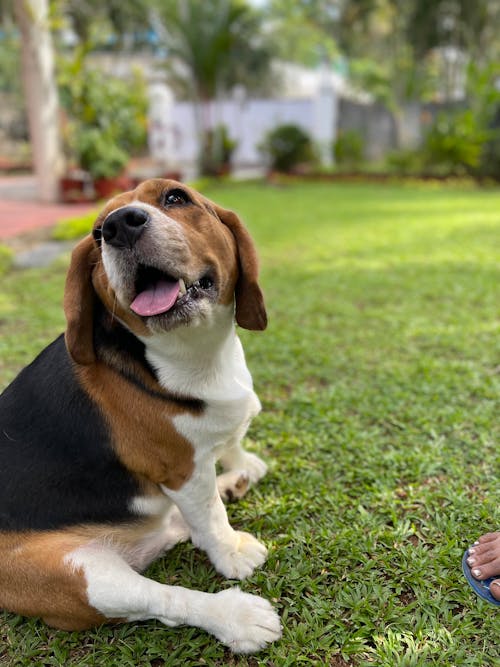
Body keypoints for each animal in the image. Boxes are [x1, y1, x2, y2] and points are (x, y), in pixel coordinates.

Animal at [0, 180, 282, 656]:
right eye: (97, 233)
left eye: (176, 197)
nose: (119, 227)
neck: (195, 353)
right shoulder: (180, 468)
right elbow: (210, 517)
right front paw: (232, 552)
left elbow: (231, 445)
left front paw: (241, 465)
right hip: (84, 579)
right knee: (165, 597)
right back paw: (237, 617)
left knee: (176, 526)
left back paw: (232, 484)